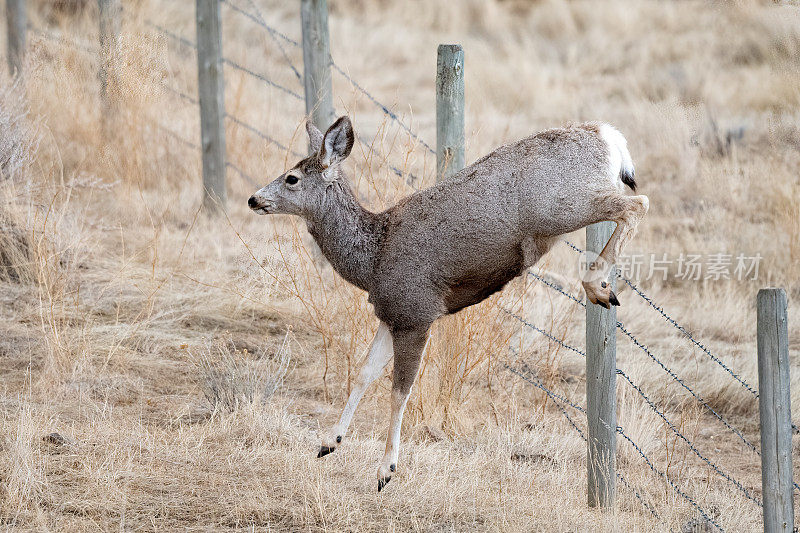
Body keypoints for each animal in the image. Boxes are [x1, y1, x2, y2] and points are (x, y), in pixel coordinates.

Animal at [250, 115, 648, 490]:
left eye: (291, 178)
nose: (254, 199)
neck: (372, 259)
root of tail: (607, 135)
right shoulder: (391, 314)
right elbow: (364, 374)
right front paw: (328, 442)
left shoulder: (417, 311)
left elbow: (399, 390)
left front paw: (386, 470)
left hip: (563, 206)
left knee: (635, 204)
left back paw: (599, 286)